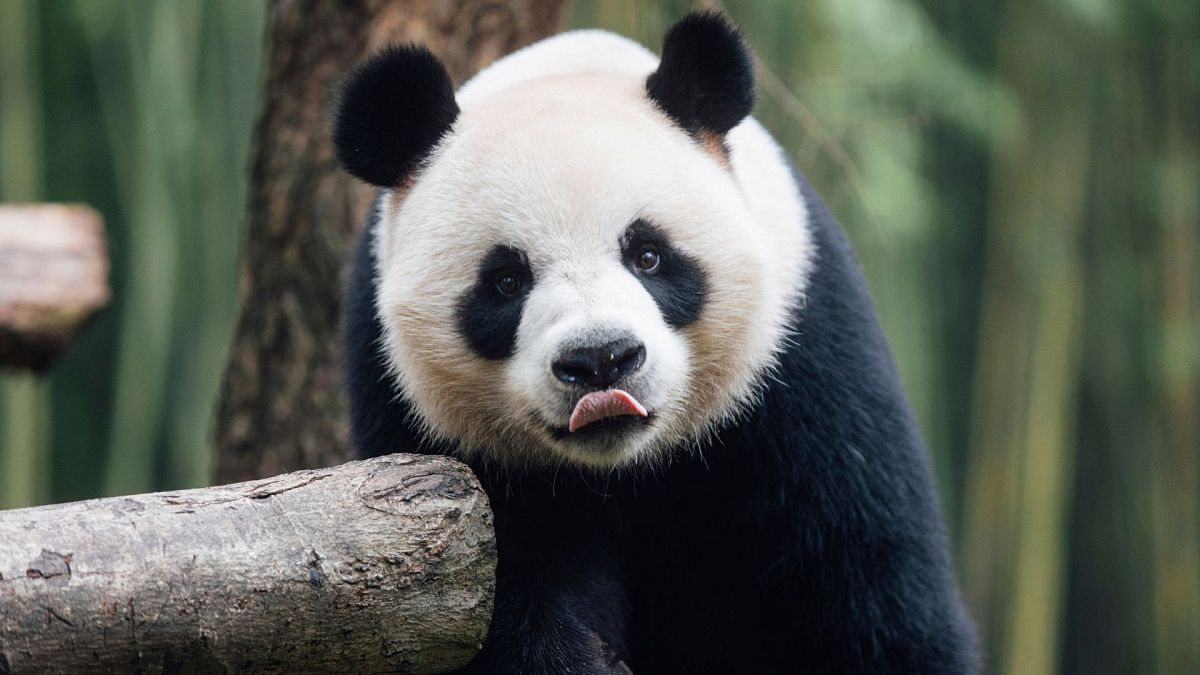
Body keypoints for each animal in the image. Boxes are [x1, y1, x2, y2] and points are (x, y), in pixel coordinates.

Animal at [333, 10, 979, 672]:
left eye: (648, 255)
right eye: (506, 280)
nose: (600, 360)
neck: (626, 465)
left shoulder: (808, 361)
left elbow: (864, 586)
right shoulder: (422, 424)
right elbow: (499, 599)